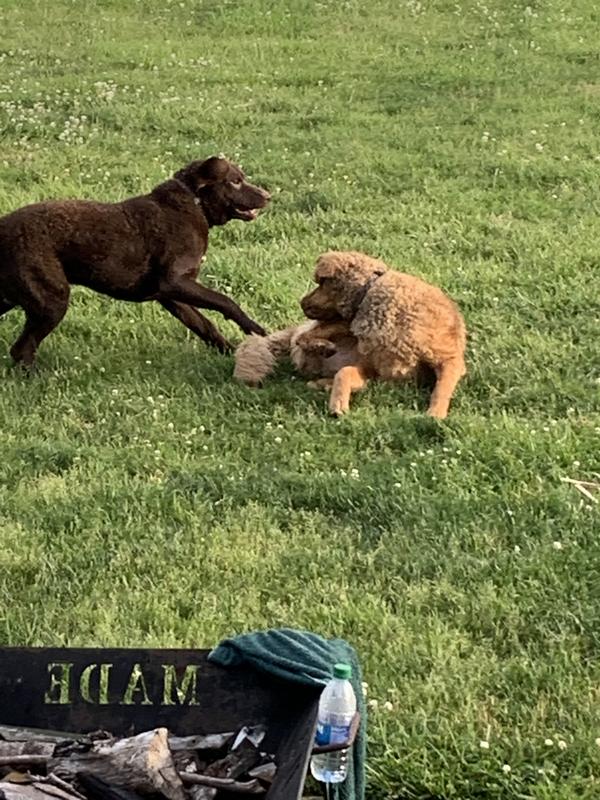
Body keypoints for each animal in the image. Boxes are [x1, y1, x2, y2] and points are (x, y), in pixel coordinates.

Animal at [0, 154, 270, 366]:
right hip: (52, 301)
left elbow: (205, 326)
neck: (194, 203)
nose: (268, 196)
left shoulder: (172, 296)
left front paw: (232, 352)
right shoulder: (175, 283)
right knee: (22, 349)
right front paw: (254, 329)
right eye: (235, 181)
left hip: (13, 298)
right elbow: (226, 302)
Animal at [300, 252, 468, 418]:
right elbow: (344, 372)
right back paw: (322, 350)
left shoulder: (449, 358)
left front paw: (435, 414)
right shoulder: (372, 368)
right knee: (305, 337)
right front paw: (338, 404)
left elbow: (442, 387)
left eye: (322, 283)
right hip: (346, 327)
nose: (301, 303)